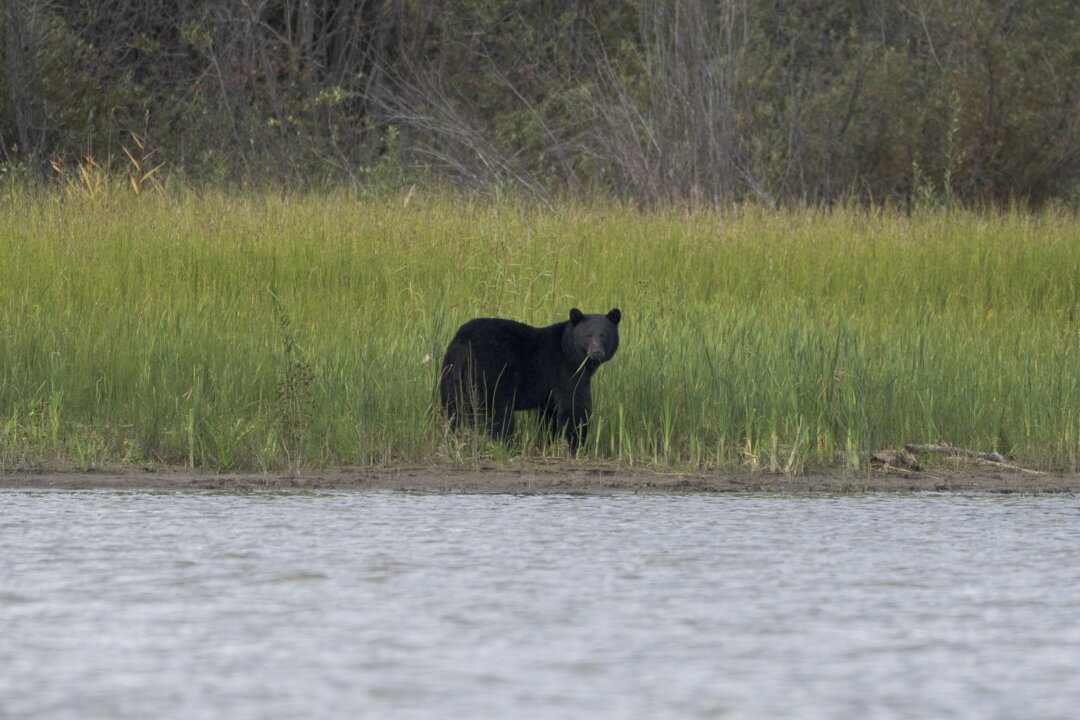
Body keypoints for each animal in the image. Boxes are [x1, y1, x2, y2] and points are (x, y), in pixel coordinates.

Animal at [440, 308, 621, 452]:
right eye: (587, 336)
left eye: (603, 335)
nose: (596, 352)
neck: (567, 349)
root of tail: (464, 342)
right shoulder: (565, 373)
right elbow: (574, 408)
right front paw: (578, 447)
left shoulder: (549, 392)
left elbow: (550, 416)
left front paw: (549, 444)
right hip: (490, 375)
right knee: (498, 414)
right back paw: (507, 446)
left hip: (450, 374)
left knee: (453, 412)